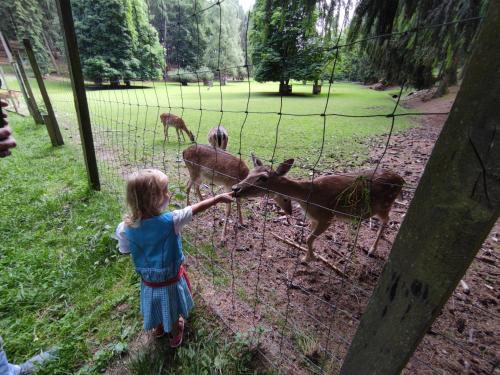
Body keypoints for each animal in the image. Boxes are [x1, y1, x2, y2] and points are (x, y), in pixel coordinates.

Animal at [232, 156, 404, 264]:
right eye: (250, 173)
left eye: (263, 178)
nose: (235, 188)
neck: (308, 197)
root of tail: (402, 180)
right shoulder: (314, 218)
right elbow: (308, 237)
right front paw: (307, 257)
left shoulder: (327, 216)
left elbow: (308, 238)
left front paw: (308, 259)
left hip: (384, 204)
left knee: (387, 219)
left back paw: (372, 249)